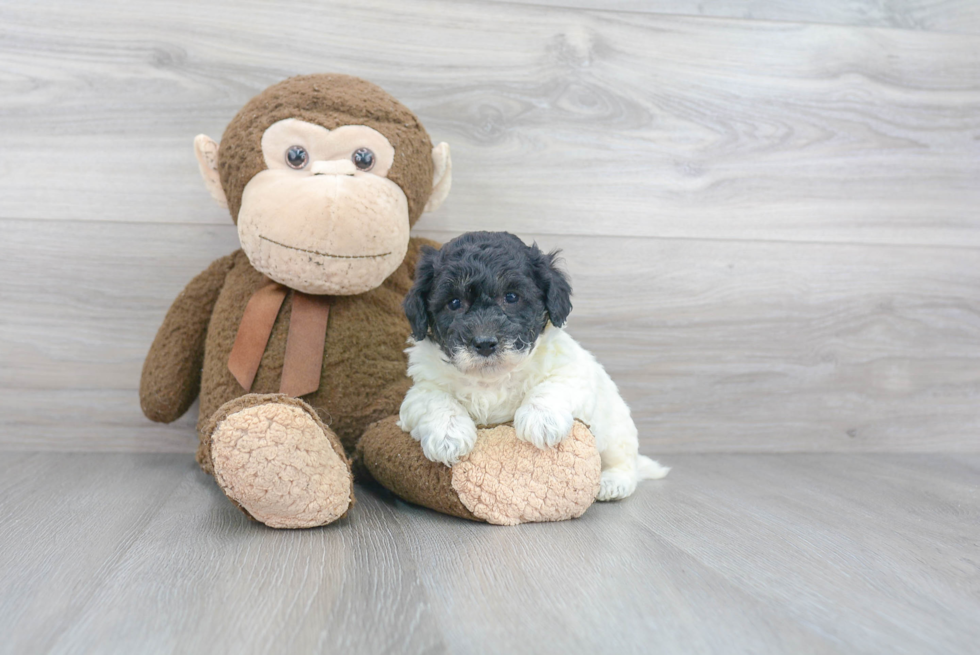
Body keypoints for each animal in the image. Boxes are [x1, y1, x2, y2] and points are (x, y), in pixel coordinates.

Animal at [396, 232, 668, 502]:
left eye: (511, 297)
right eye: (454, 303)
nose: (484, 343)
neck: (491, 379)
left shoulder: (572, 370)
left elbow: (551, 385)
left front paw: (541, 420)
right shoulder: (420, 389)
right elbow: (434, 399)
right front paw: (448, 435)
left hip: (616, 429)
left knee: (624, 461)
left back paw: (613, 482)